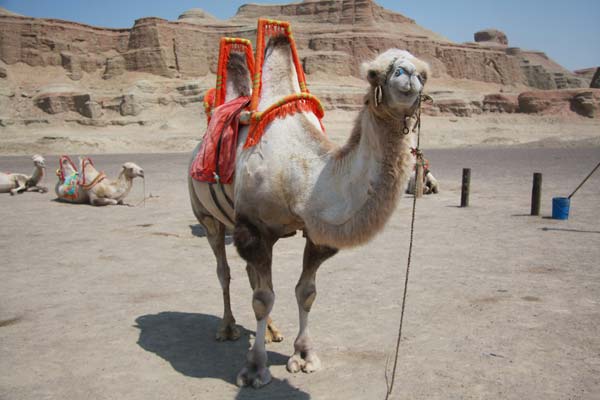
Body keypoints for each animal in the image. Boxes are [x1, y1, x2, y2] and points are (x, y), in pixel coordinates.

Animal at [190, 37, 428, 388]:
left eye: (424, 73)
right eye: (373, 73)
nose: (408, 74)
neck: (304, 177)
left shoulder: (318, 232)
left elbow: (305, 292)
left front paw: (303, 355)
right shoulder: (253, 229)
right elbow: (263, 298)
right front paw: (255, 369)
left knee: (248, 274)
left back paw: (271, 331)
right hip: (207, 217)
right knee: (224, 271)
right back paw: (227, 328)